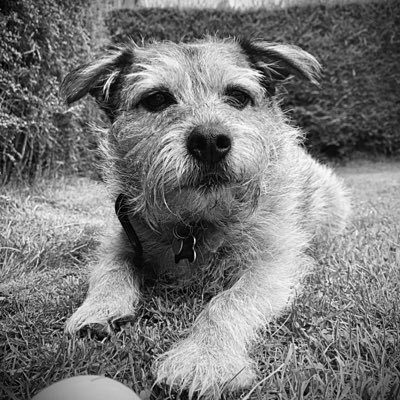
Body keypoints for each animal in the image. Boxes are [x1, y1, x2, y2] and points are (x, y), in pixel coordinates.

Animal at [60, 36, 350, 398]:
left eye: (238, 96)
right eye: (156, 99)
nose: (210, 140)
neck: (196, 221)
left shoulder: (273, 266)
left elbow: (229, 302)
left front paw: (204, 358)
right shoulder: (122, 237)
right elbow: (111, 268)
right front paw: (98, 308)